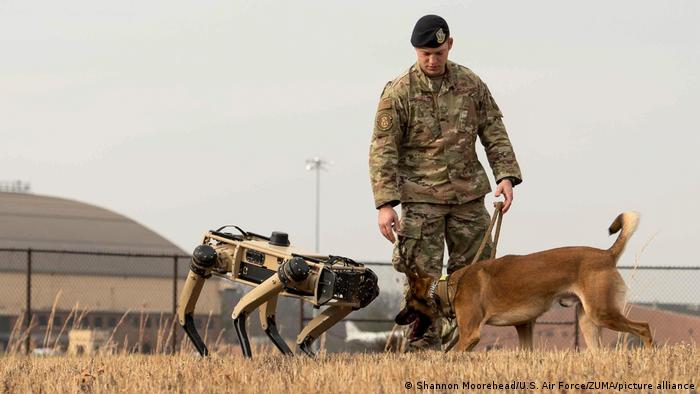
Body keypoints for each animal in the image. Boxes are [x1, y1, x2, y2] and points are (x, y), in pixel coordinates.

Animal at [396, 212, 652, 350]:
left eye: (407, 302)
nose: (397, 319)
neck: (449, 287)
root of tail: (607, 254)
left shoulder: (470, 334)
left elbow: (450, 356)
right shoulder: (525, 325)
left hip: (603, 312)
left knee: (644, 327)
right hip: (588, 321)